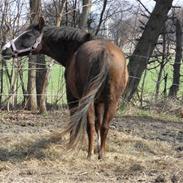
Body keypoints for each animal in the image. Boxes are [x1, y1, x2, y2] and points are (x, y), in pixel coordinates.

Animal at [1, 17, 128, 159]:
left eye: (28, 35)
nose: (4, 49)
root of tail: (103, 52)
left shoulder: (72, 97)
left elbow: (76, 121)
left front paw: (72, 145)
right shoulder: (99, 102)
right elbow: (98, 124)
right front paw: (97, 149)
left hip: (87, 100)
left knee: (89, 124)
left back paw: (89, 154)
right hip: (112, 101)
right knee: (104, 126)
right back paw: (101, 155)